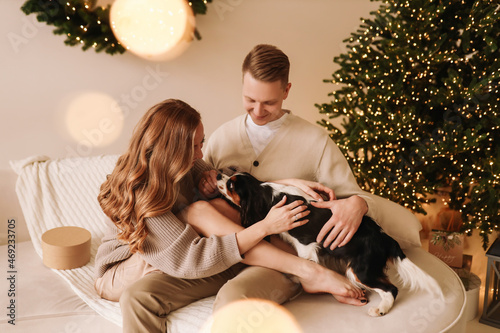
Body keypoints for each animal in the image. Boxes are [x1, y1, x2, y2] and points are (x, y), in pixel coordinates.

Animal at [217, 172, 444, 316]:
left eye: (231, 185)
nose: (218, 175)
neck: (268, 195)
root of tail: (385, 237)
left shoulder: (306, 245)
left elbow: (306, 263)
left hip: (359, 270)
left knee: (391, 289)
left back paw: (380, 309)